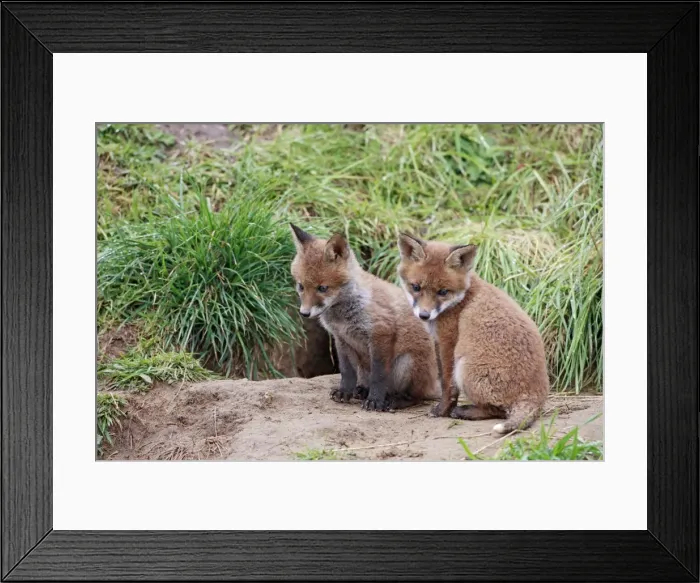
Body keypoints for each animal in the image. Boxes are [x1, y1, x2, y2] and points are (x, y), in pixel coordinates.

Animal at [289, 224, 439, 411]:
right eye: (301, 286)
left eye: (322, 288)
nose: (304, 313)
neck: (343, 316)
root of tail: (433, 384)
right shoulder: (341, 338)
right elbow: (346, 372)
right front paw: (344, 392)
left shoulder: (380, 332)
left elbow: (379, 375)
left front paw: (375, 400)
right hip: (363, 366)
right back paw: (361, 391)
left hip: (407, 363)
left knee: (416, 397)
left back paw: (394, 401)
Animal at [397, 233, 549, 434]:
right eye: (416, 287)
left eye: (443, 292)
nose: (424, 315)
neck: (462, 298)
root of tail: (535, 394)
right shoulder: (438, 341)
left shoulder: (448, 342)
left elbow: (447, 384)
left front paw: (442, 411)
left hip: (465, 366)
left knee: (497, 410)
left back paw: (465, 412)